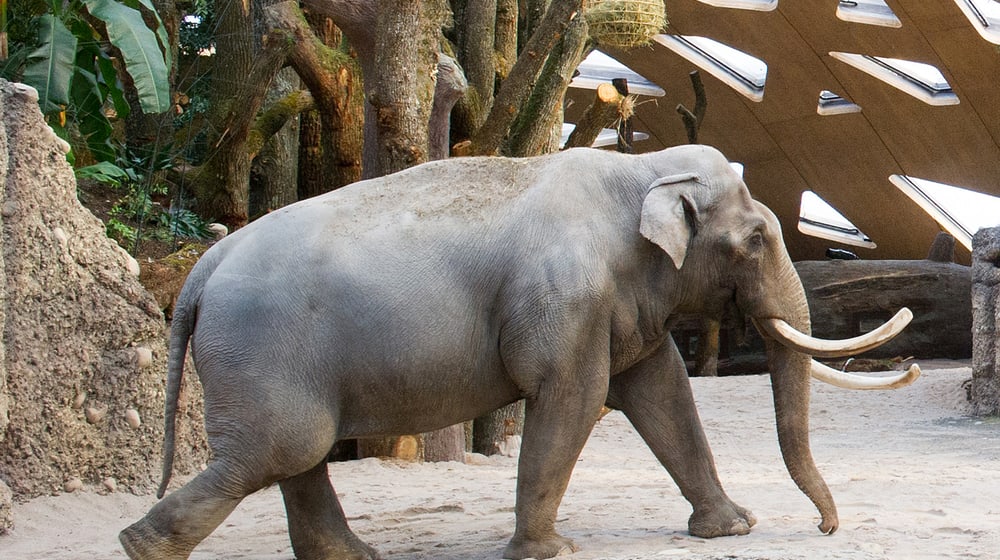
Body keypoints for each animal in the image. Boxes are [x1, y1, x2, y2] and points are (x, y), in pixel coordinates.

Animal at [120, 144, 919, 560]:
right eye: (755, 239)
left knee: (296, 456)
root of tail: (201, 269)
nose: (826, 528)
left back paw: (353, 559)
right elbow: (572, 397)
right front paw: (548, 551)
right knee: (274, 452)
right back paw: (142, 548)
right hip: (261, 350)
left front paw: (731, 529)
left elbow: (662, 392)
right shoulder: (564, 299)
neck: (640, 168)